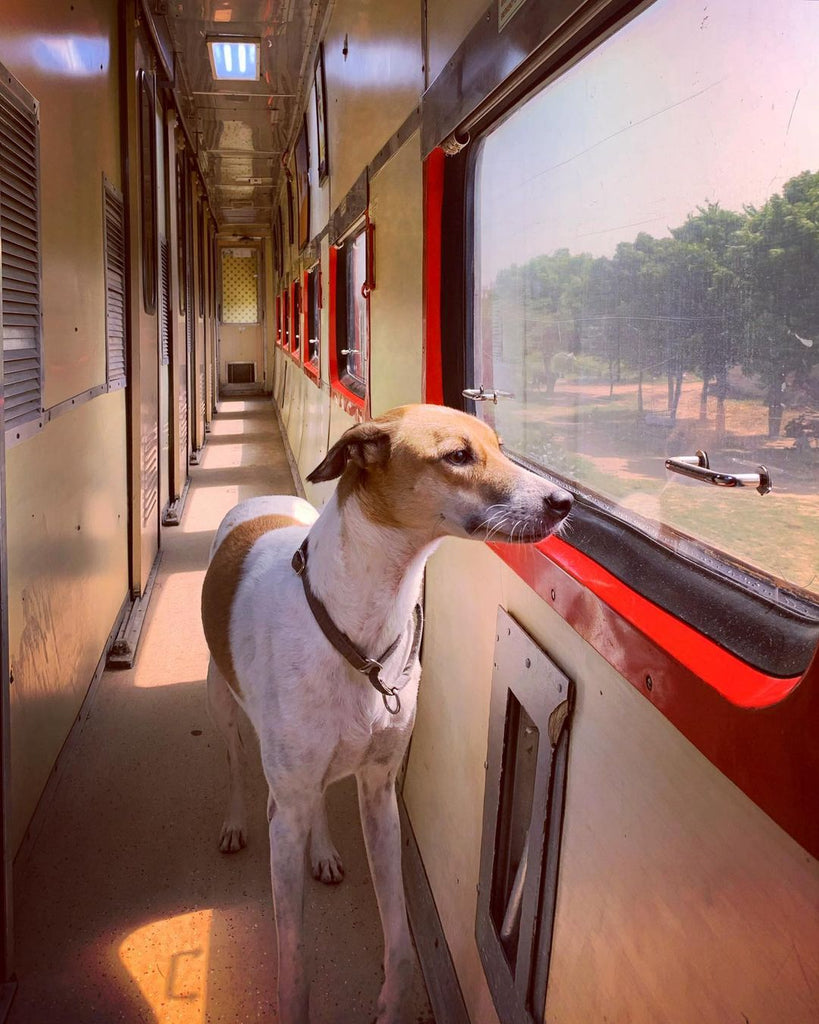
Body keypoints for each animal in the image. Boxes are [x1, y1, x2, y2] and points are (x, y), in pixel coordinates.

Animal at [199, 401, 569, 1024]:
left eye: (498, 445)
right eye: (458, 455)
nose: (565, 502)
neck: (357, 634)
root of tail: (260, 503)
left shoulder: (378, 793)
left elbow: (399, 947)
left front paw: (391, 1001)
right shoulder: (286, 811)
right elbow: (294, 964)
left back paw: (324, 850)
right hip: (223, 702)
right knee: (231, 762)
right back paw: (230, 823)